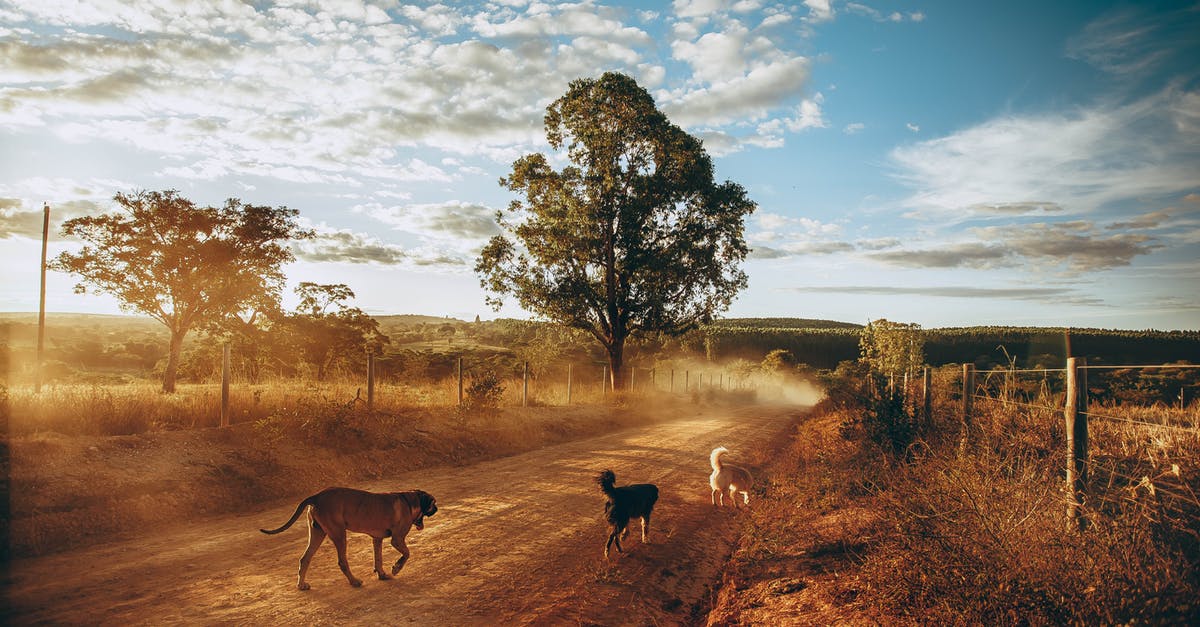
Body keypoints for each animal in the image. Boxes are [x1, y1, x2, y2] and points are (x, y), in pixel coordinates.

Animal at [260, 485, 439, 588]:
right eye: (433, 503)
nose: (437, 508)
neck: (409, 501)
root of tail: (317, 496)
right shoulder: (397, 539)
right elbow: (407, 553)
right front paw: (396, 568)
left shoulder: (377, 539)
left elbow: (378, 558)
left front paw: (381, 574)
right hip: (339, 534)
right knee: (342, 562)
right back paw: (354, 581)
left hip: (318, 533)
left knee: (305, 559)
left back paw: (301, 584)